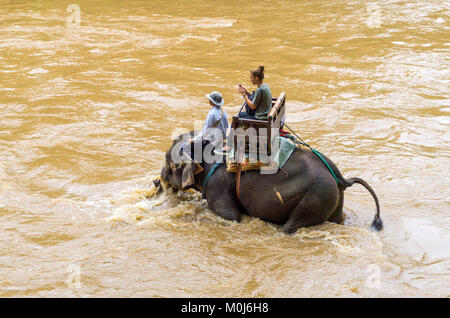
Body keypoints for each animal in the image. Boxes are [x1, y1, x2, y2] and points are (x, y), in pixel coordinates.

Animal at [156, 131, 382, 234]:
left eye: (170, 165)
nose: (157, 181)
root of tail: (342, 179)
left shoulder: (218, 186)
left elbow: (230, 216)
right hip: (332, 199)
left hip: (314, 199)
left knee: (291, 226)